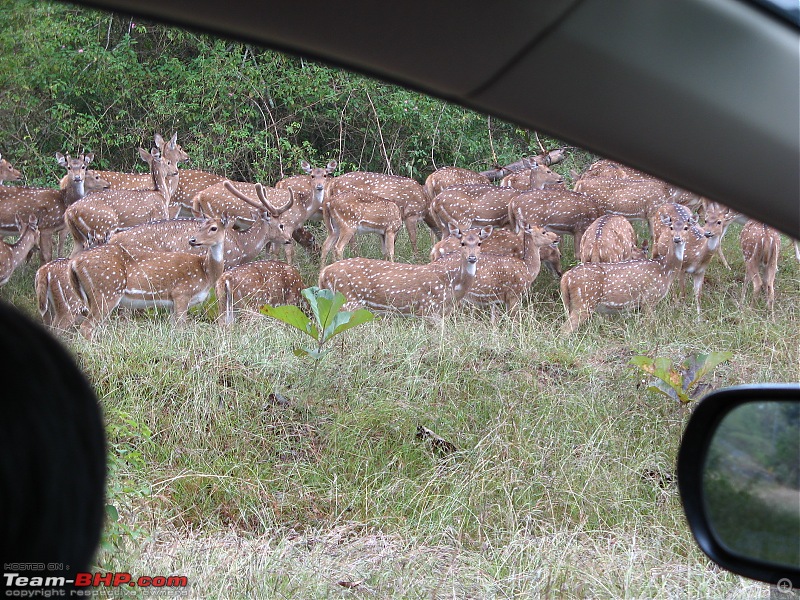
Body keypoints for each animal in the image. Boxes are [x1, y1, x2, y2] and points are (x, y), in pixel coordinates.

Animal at [68, 217, 231, 340]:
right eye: (200, 226)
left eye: (213, 228)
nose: (192, 240)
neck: (205, 273)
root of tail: (74, 263)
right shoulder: (181, 293)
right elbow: (180, 327)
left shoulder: (172, 302)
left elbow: (173, 328)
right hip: (106, 291)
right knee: (86, 327)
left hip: (90, 297)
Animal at [318, 225, 488, 318]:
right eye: (462, 243)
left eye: (479, 243)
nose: (472, 257)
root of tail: (323, 274)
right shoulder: (428, 308)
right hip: (347, 300)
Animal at [560, 213, 692, 332]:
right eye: (671, 227)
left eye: (686, 227)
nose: (677, 239)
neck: (665, 269)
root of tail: (566, 277)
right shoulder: (650, 297)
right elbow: (649, 325)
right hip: (584, 301)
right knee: (565, 330)